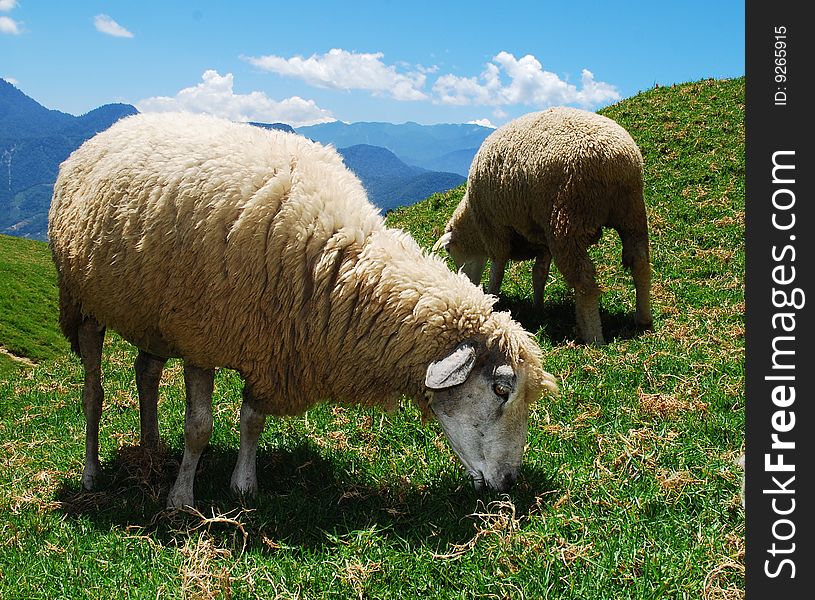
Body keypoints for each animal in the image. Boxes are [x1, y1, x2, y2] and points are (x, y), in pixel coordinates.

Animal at [49, 111, 560, 506]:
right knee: (93, 394)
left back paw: (152, 445)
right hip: (82, 303)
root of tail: (107, 132)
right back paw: (92, 472)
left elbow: (252, 420)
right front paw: (181, 498)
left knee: (146, 372)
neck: (335, 262)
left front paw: (243, 485)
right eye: (501, 389)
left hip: (151, 314)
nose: (509, 482)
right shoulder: (202, 336)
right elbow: (199, 428)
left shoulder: (269, 342)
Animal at [434, 105, 652, 344]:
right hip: (631, 212)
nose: (465, 281)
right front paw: (538, 307)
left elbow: (497, 271)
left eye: (449, 250)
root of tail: (614, 161)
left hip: (566, 220)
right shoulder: (541, 239)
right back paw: (643, 318)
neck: (473, 223)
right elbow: (539, 273)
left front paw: (492, 298)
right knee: (639, 262)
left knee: (584, 279)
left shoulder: (495, 231)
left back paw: (594, 336)